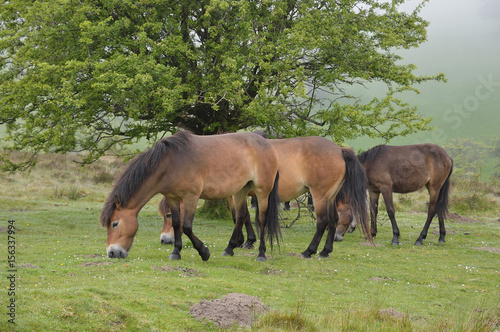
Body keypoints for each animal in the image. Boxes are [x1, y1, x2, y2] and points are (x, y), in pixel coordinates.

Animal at [99, 130, 284, 262]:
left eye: (115, 224)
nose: (112, 253)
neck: (170, 163)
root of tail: (268, 144)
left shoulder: (191, 197)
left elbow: (186, 226)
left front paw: (204, 252)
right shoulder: (173, 198)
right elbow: (176, 224)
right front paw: (176, 252)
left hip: (262, 192)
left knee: (261, 219)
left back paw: (261, 254)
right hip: (240, 191)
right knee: (240, 217)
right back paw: (229, 249)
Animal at [158, 136, 374, 258]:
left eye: (168, 216)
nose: (164, 240)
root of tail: (339, 149)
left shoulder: (237, 194)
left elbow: (241, 217)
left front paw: (242, 242)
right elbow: (244, 216)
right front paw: (245, 241)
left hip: (320, 195)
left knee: (323, 221)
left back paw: (309, 251)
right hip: (330, 196)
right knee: (333, 220)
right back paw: (325, 251)